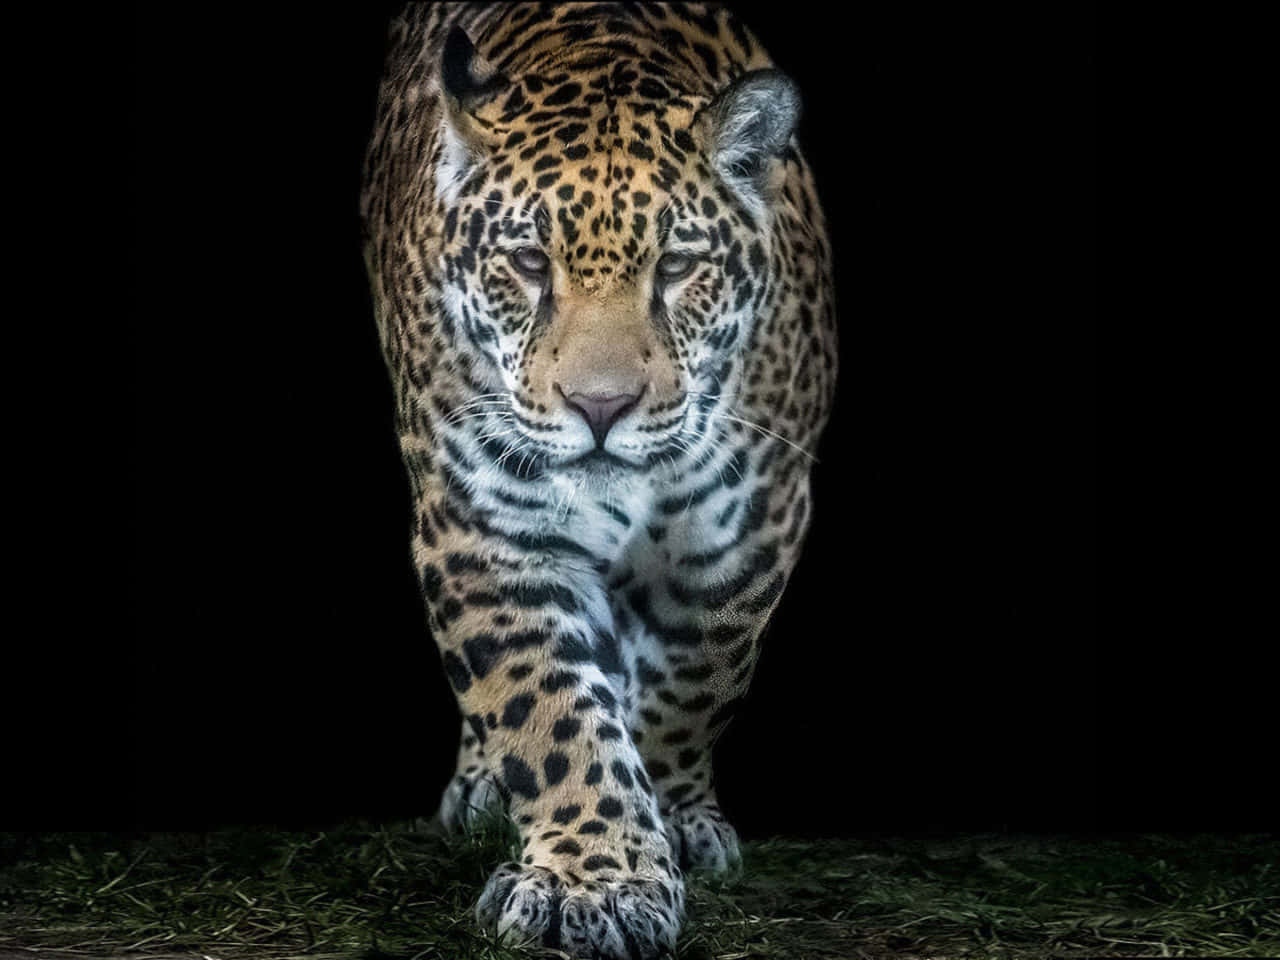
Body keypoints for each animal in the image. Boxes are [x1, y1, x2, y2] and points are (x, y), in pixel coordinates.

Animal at [360, 3, 837, 956]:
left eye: (678, 267)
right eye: (528, 264)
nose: (601, 406)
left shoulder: (747, 531)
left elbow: (692, 683)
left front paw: (665, 823)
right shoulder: (486, 531)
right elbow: (549, 710)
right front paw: (596, 881)